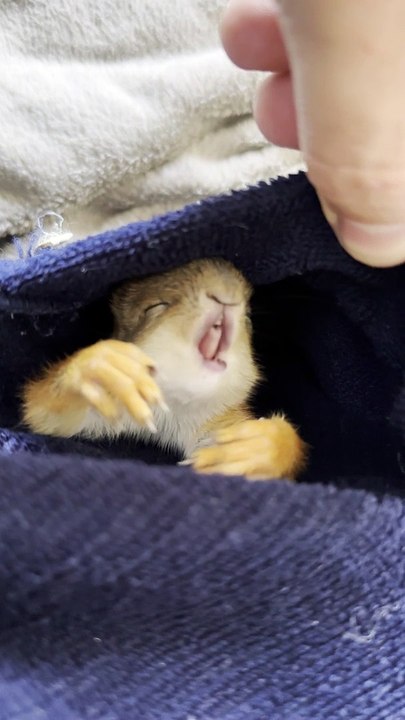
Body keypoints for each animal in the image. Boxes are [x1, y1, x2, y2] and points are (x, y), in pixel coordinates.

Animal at [22, 258, 307, 480]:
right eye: (154, 307)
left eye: (248, 318)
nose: (226, 292)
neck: (171, 410)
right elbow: (40, 411)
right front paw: (103, 365)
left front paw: (258, 447)